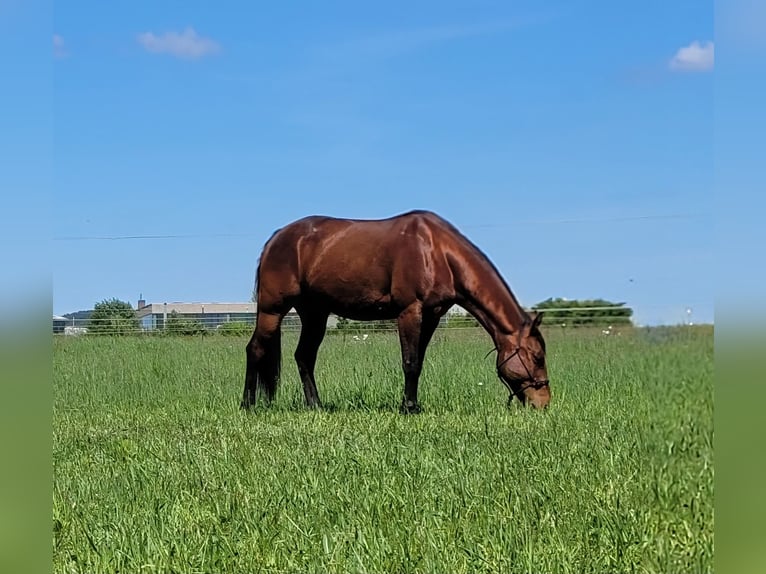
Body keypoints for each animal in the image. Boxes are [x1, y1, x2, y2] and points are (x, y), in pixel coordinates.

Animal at [241, 210, 550, 413]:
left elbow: (419, 362)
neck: (436, 251)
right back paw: (248, 404)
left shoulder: (432, 316)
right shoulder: (409, 311)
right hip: (272, 310)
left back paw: (315, 405)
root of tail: (276, 238)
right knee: (255, 349)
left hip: (314, 314)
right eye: (537, 356)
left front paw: (410, 404)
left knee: (304, 356)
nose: (544, 403)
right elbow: (410, 362)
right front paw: (409, 408)